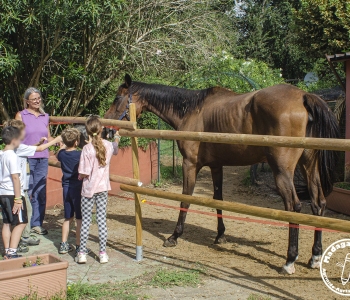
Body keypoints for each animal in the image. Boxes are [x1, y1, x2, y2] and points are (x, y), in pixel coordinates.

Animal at [104, 74, 340, 274]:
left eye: (117, 98)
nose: (106, 128)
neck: (191, 110)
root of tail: (303, 96)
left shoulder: (190, 165)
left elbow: (186, 199)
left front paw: (174, 236)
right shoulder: (216, 166)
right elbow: (218, 199)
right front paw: (220, 235)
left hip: (282, 171)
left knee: (294, 207)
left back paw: (289, 261)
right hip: (308, 165)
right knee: (317, 203)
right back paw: (315, 256)